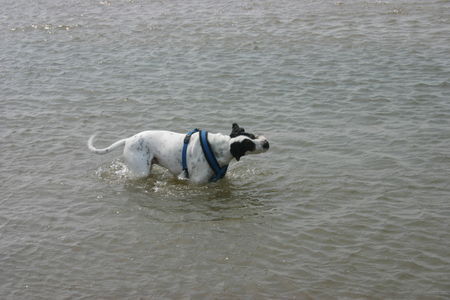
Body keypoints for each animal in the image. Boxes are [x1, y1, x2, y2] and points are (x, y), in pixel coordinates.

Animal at [89, 123, 268, 184]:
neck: (219, 148)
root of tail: (128, 140)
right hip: (141, 171)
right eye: (248, 144)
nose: (266, 143)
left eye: (252, 135)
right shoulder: (197, 182)